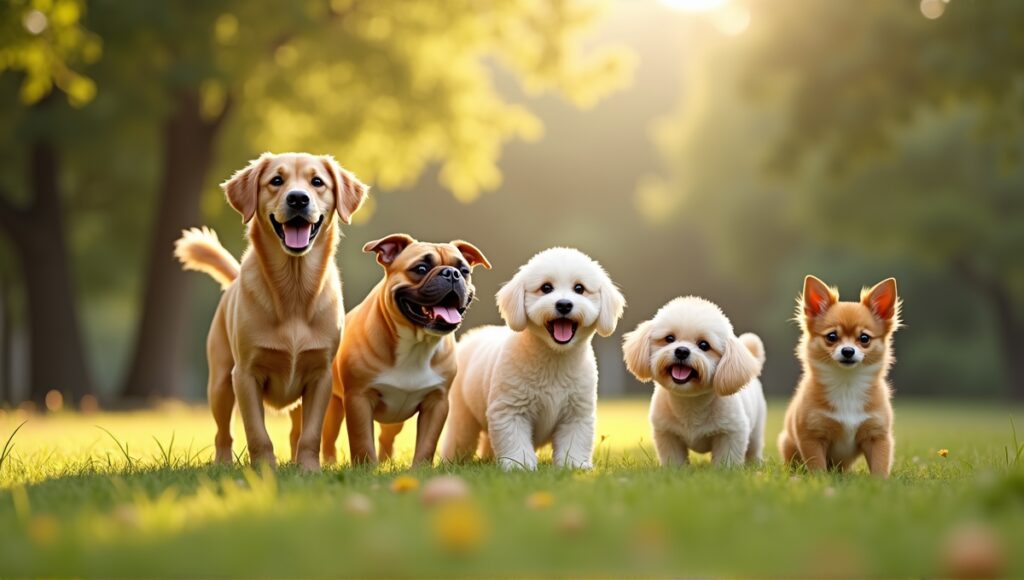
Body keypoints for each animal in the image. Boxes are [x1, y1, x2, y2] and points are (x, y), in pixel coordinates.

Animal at [440, 247, 622, 471]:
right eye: (546, 288)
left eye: (579, 288)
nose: (564, 305)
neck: (554, 359)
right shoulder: (510, 409)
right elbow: (515, 440)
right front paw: (520, 466)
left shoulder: (577, 412)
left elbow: (575, 442)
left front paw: (574, 465)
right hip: (463, 415)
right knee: (459, 438)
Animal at [618, 297, 765, 471]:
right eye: (669, 339)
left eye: (704, 345)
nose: (682, 351)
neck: (690, 402)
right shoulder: (667, 433)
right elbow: (673, 458)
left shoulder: (731, 432)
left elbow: (727, 458)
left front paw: (725, 472)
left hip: (756, 431)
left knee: (754, 449)